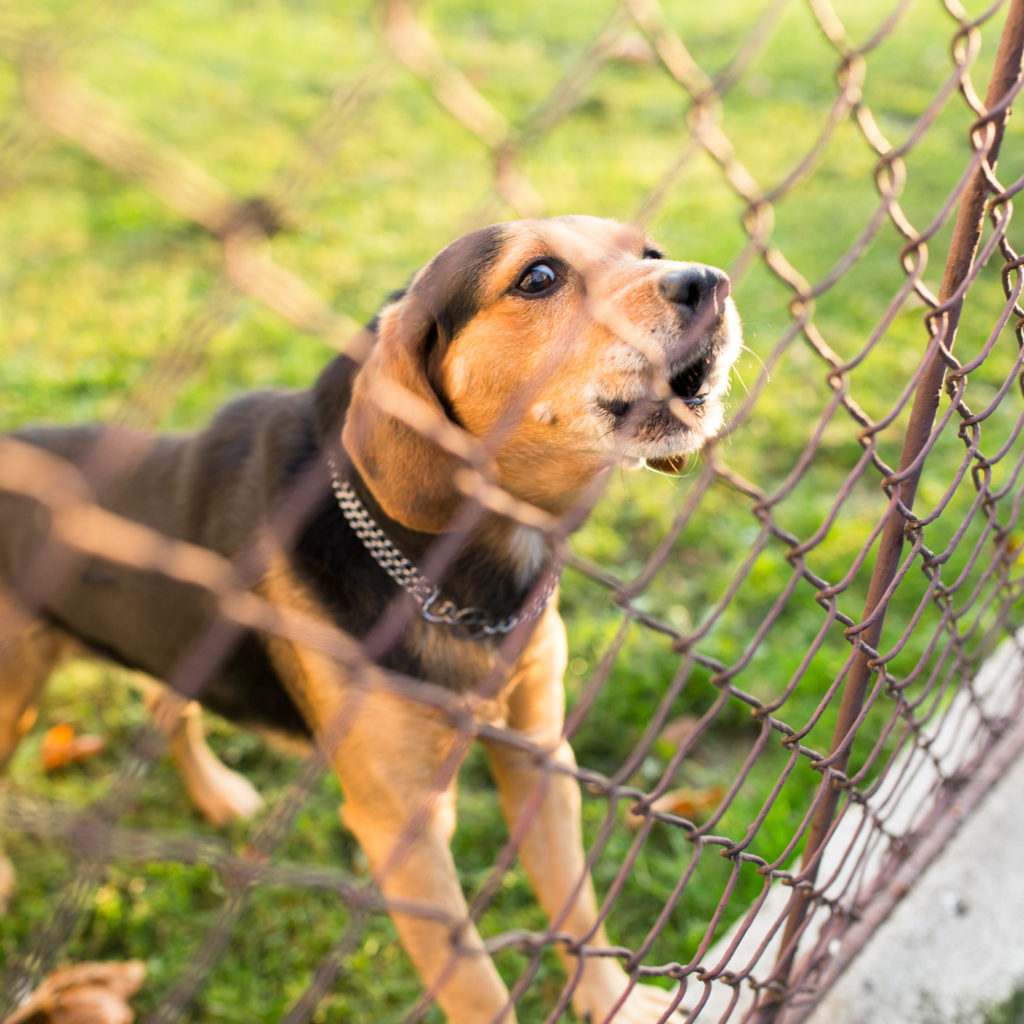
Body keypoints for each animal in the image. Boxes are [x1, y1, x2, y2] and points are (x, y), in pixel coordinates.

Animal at [0, 216, 741, 1024]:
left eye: (651, 253)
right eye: (539, 277)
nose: (711, 282)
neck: (460, 578)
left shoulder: (540, 757)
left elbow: (576, 909)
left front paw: (614, 1003)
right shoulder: (403, 834)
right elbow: (478, 988)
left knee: (170, 703)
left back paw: (218, 795)